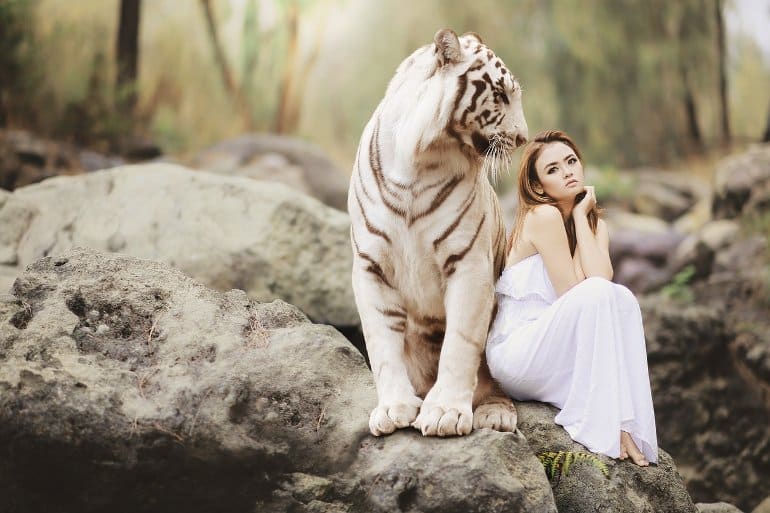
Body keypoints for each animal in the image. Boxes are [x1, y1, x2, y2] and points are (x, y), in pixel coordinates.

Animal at [350, 29, 524, 436]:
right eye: (501, 94)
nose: (524, 138)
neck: (419, 159)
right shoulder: (369, 266)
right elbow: (382, 343)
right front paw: (394, 408)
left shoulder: (469, 263)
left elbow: (459, 343)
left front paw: (445, 412)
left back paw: (496, 413)